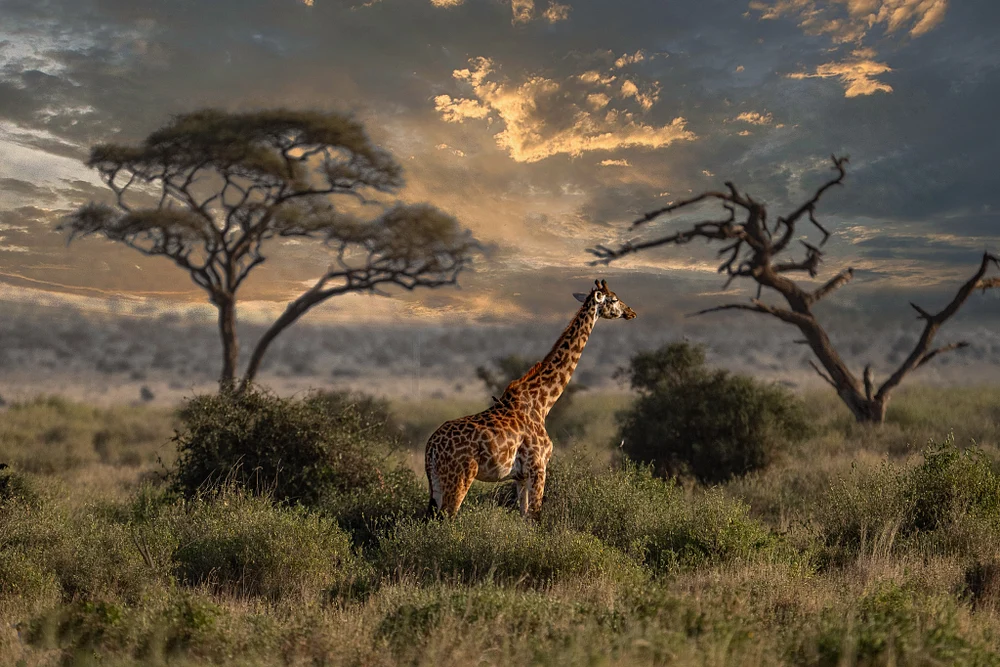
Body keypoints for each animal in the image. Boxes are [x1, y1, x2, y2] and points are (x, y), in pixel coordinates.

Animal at [424, 279, 637, 519]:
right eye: (614, 299)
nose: (631, 312)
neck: (542, 403)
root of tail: (430, 447)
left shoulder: (521, 476)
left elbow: (524, 515)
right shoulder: (538, 467)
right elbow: (535, 515)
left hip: (437, 482)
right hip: (459, 476)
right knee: (447, 517)